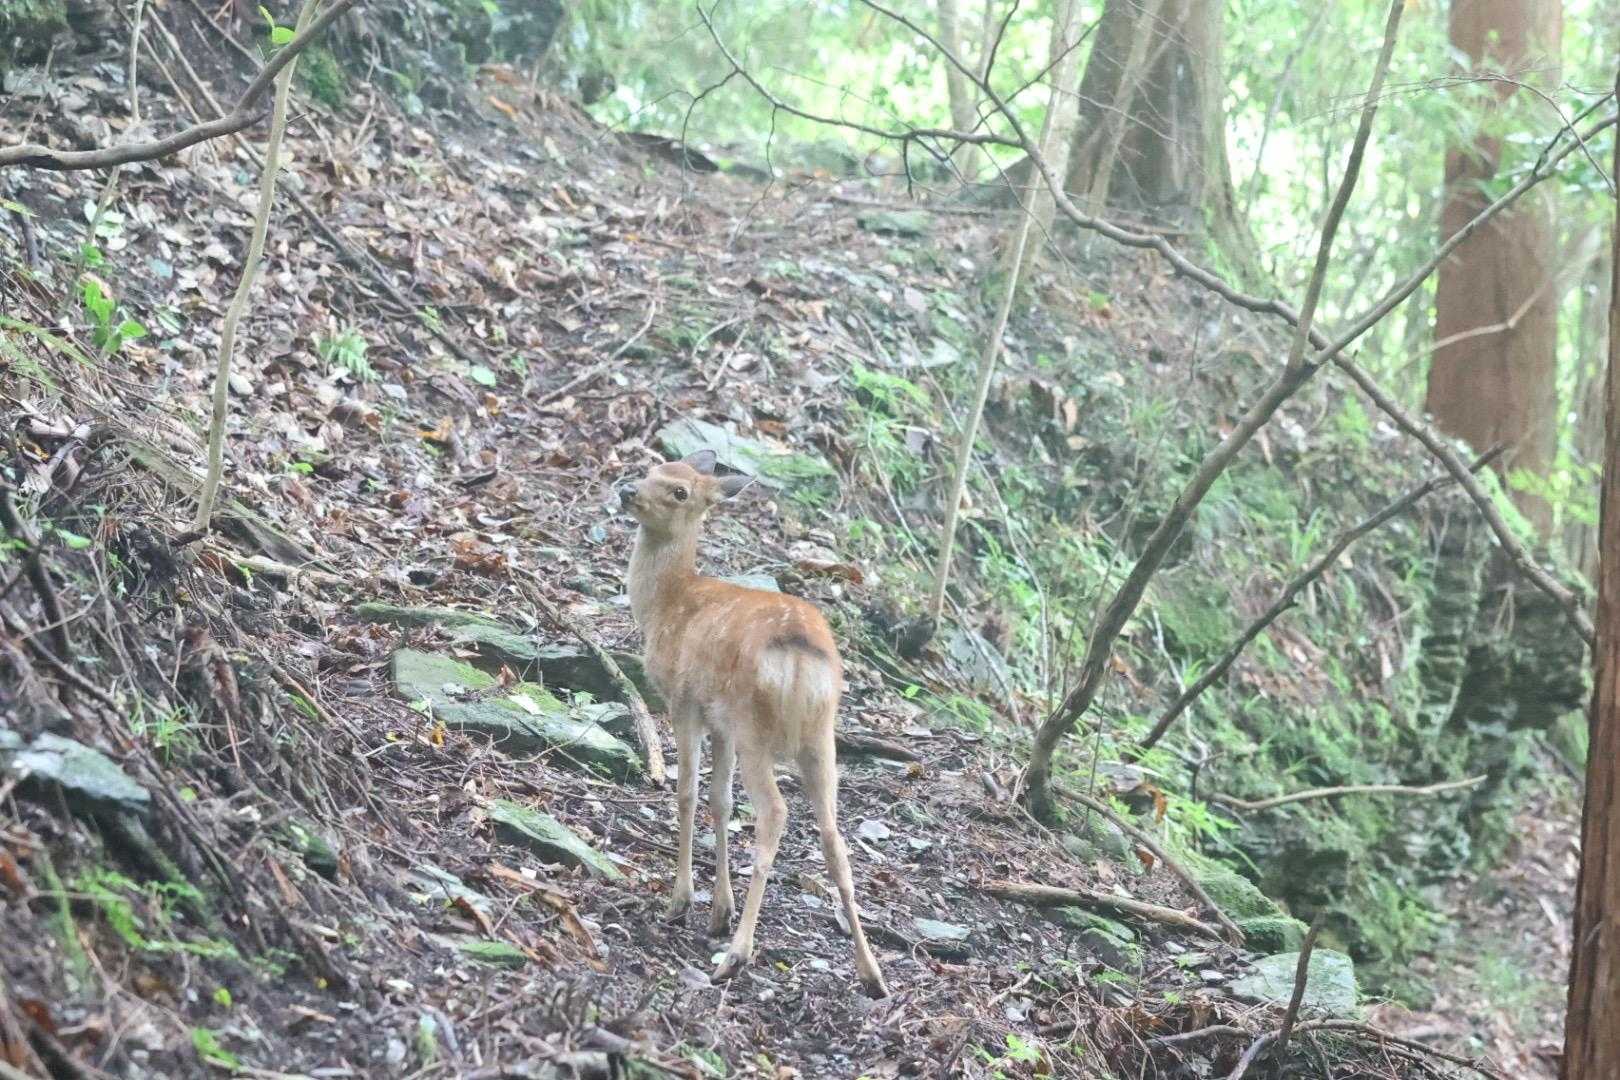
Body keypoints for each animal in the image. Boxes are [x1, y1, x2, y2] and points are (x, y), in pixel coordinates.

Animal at [617, 449, 889, 998]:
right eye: (655, 467)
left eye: (680, 491)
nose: (626, 490)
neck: (666, 605)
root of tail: (802, 657)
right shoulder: (719, 722)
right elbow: (720, 802)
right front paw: (718, 911)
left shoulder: (685, 702)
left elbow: (689, 794)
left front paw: (682, 900)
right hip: (819, 740)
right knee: (836, 840)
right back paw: (872, 974)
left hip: (756, 731)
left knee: (775, 814)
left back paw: (736, 956)